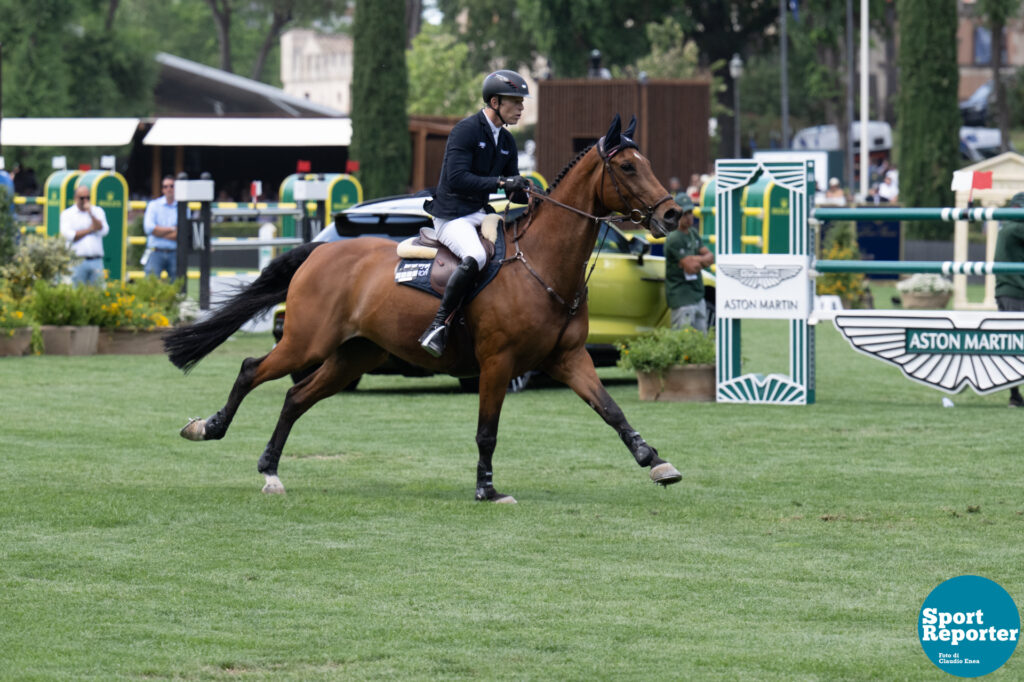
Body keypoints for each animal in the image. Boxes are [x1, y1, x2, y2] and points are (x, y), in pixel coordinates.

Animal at [161, 114, 679, 499]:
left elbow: (612, 410)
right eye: (628, 168)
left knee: (295, 397)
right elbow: (487, 430)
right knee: (252, 369)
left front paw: (655, 461)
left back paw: (270, 471)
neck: (544, 265)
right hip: (307, 342)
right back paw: (207, 428)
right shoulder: (498, 363)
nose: (673, 214)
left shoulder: (568, 358)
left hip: (354, 355)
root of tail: (320, 250)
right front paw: (487, 490)